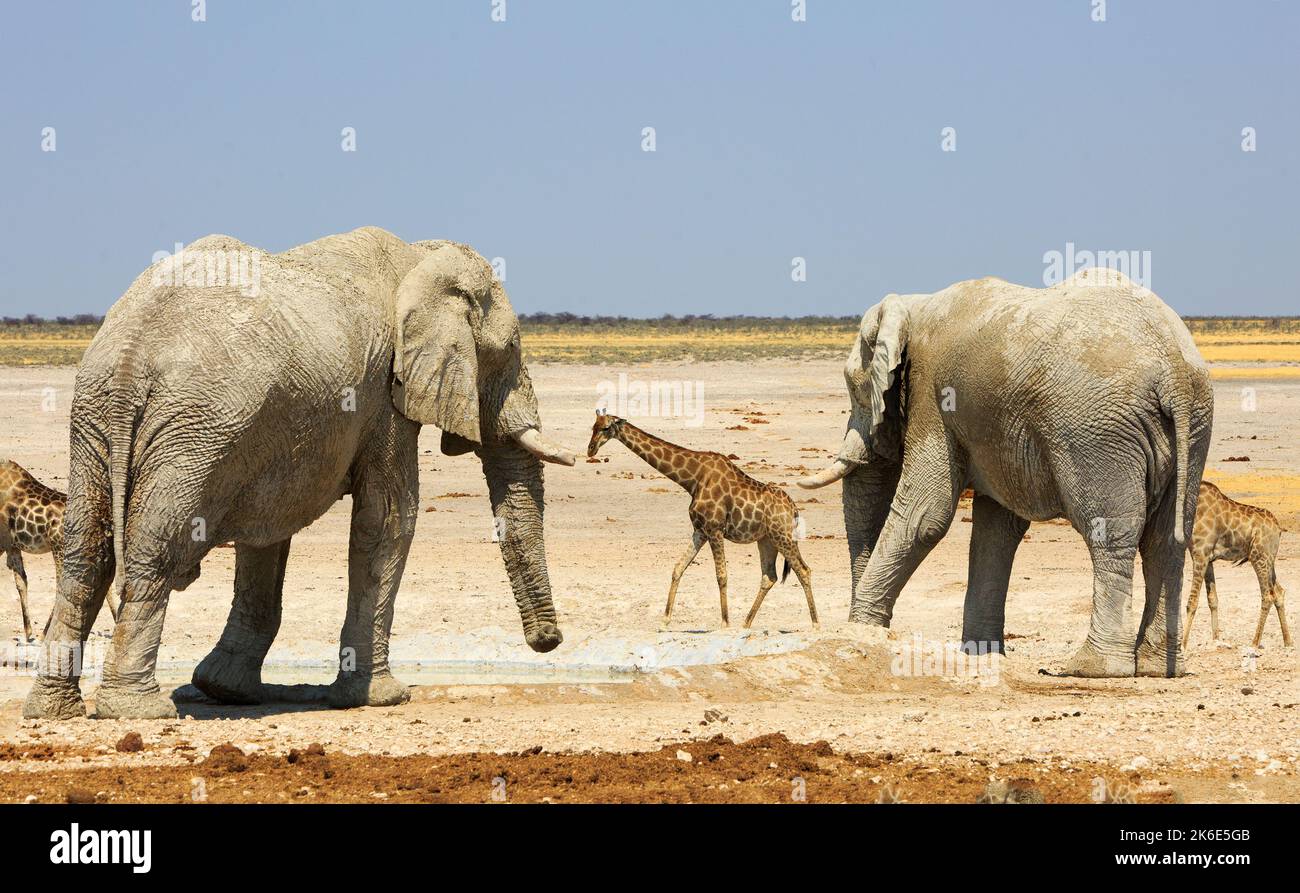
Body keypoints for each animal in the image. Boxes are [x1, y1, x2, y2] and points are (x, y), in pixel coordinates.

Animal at [22, 227, 574, 722]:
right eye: (508, 351)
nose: (549, 641)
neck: (421, 256)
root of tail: (131, 357)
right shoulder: (381, 399)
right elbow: (389, 520)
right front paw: (381, 698)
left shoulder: (270, 435)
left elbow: (268, 531)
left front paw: (226, 690)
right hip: (193, 429)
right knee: (154, 549)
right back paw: (137, 710)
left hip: (100, 420)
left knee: (85, 551)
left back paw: (53, 710)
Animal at [587, 413, 816, 629]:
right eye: (593, 427)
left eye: (606, 428)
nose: (590, 450)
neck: (693, 478)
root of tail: (793, 509)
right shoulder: (700, 530)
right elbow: (678, 568)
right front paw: (665, 620)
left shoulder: (714, 529)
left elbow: (721, 575)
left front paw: (724, 623)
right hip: (766, 540)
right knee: (769, 576)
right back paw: (746, 624)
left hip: (782, 536)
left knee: (803, 570)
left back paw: (815, 624)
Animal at [795, 269, 1211, 681]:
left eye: (856, 390)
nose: (861, 627)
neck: (915, 306)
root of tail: (1175, 372)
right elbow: (996, 529)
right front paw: (981, 655)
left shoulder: (933, 396)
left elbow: (925, 515)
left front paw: (860, 632)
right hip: (1193, 431)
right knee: (1167, 538)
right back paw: (1159, 668)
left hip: (1097, 433)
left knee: (1110, 533)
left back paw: (1092, 667)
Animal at [1185, 480, 1284, 649]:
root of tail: (1278, 528)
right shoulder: (1207, 559)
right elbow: (1213, 599)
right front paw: (1216, 639)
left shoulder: (1200, 554)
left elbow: (1192, 601)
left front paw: (1182, 645)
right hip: (1270, 561)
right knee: (1279, 592)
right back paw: (1288, 642)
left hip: (1259, 557)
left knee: (1268, 595)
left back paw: (1254, 643)